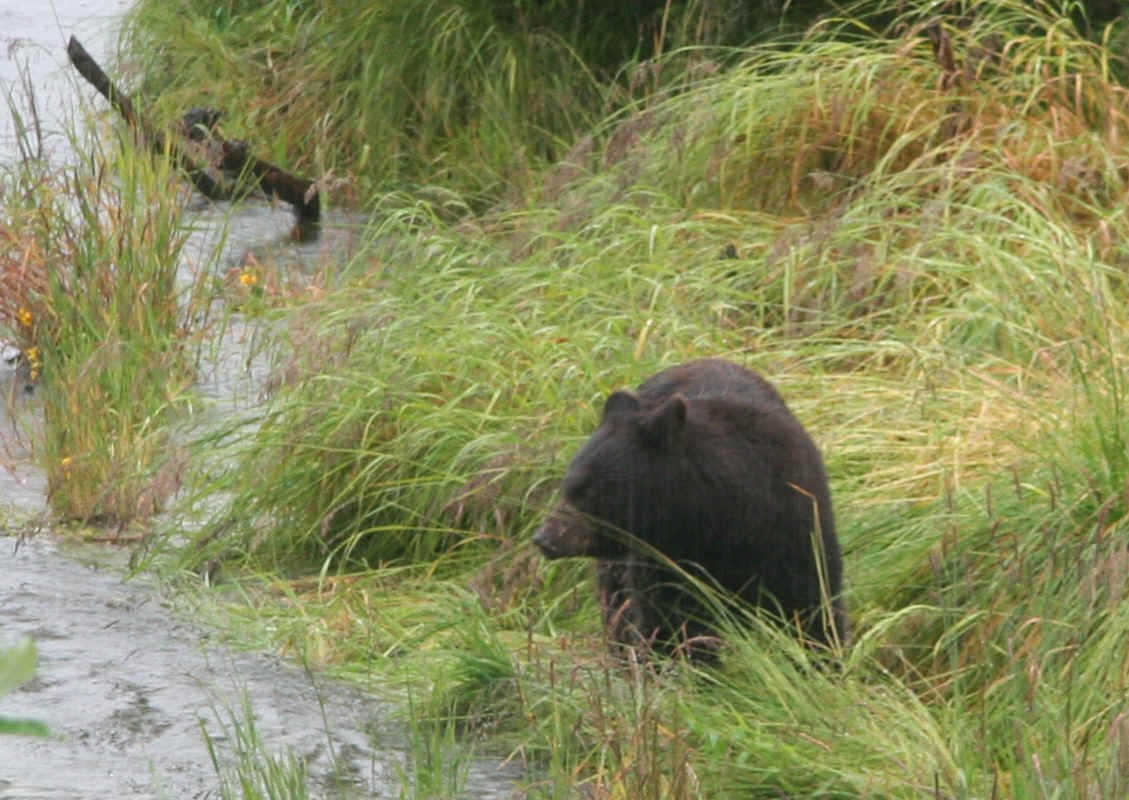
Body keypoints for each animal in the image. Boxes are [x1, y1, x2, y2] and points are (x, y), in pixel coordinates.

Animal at [530, 356, 849, 654]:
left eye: (587, 491)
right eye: (568, 485)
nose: (545, 538)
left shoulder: (792, 525)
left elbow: (809, 606)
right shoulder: (668, 560)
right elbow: (673, 623)